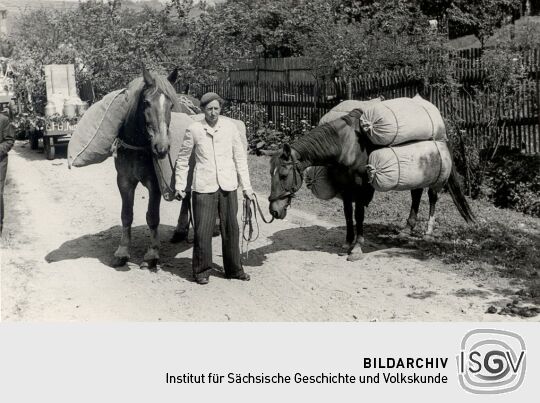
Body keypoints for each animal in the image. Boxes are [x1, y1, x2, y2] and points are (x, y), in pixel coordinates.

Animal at [110, 68, 189, 270]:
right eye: (146, 102)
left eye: (170, 104)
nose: (161, 147)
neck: (137, 146)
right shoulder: (124, 181)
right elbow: (126, 215)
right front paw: (122, 251)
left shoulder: (155, 184)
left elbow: (152, 217)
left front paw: (152, 253)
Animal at [268, 95, 474, 262]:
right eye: (271, 173)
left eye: (283, 175)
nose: (274, 211)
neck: (345, 146)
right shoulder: (345, 186)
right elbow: (348, 214)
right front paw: (347, 242)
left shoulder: (361, 186)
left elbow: (358, 215)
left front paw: (357, 248)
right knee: (416, 195)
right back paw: (406, 229)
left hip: (436, 178)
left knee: (432, 197)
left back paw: (428, 233)